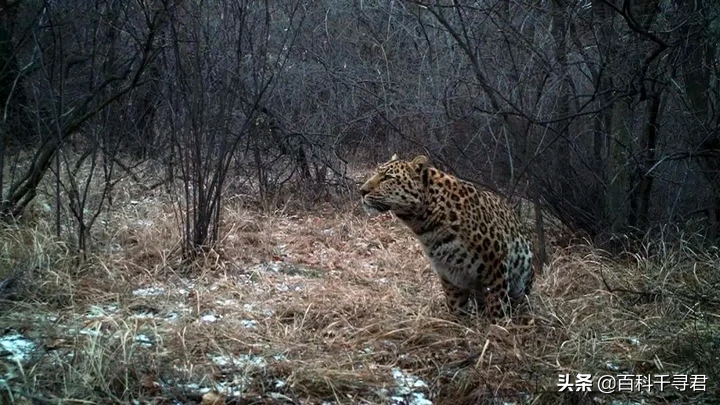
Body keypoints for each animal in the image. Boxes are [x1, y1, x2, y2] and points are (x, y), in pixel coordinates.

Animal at [360, 154, 536, 318]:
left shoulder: (495, 268)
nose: (361, 191)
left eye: (388, 178)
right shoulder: (448, 273)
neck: (426, 224)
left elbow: (497, 306)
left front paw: (497, 327)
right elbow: (456, 305)